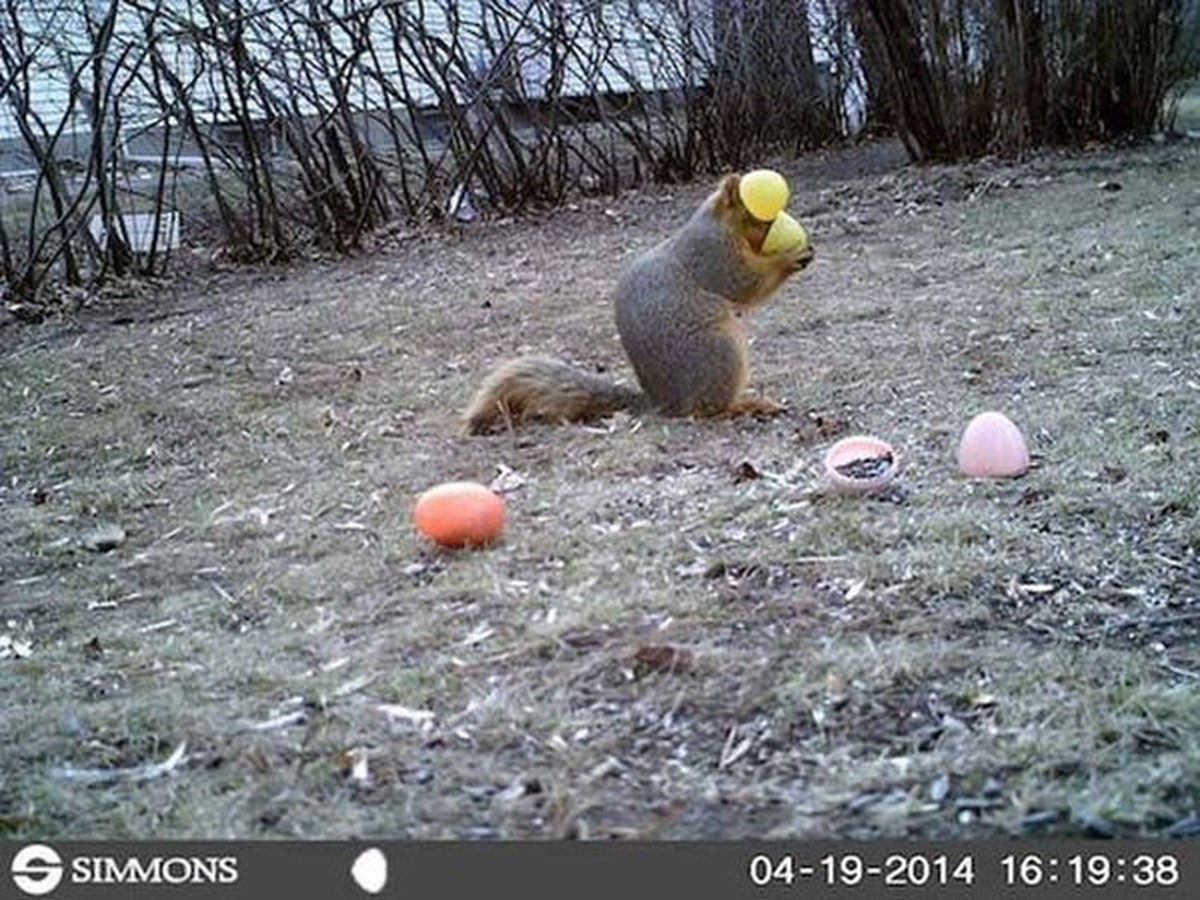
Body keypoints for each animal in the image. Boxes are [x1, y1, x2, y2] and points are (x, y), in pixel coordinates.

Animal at [463, 172, 815, 434]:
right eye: (758, 217)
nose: (783, 229)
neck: (717, 224)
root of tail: (664, 403)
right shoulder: (712, 256)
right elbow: (743, 283)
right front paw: (790, 257)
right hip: (720, 352)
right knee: (712, 409)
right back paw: (748, 405)